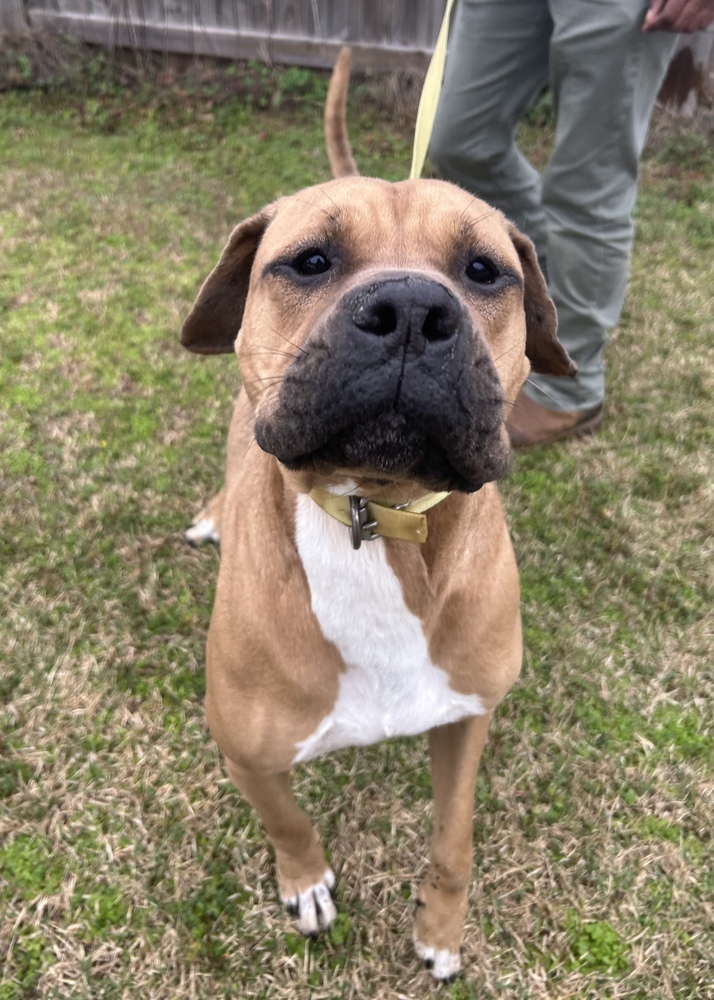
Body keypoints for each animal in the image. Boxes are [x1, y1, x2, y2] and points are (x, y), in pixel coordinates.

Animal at [179, 50, 572, 980]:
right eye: (310, 260)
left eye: (483, 271)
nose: (411, 312)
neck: (374, 515)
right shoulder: (246, 750)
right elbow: (287, 820)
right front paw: (306, 882)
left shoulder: (468, 716)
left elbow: (455, 837)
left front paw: (441, 928)